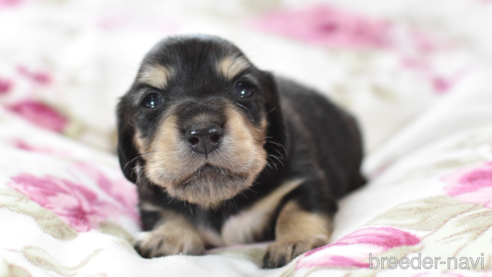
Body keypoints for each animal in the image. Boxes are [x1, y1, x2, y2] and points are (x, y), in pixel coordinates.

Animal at [116, 34, 366, 268]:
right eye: (151, 100)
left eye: (244, 89)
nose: (204, 133)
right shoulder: (151, 202)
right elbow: (167, 215)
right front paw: (168, 237)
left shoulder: (306, 179)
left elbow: (296, 209)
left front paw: (294, 242)